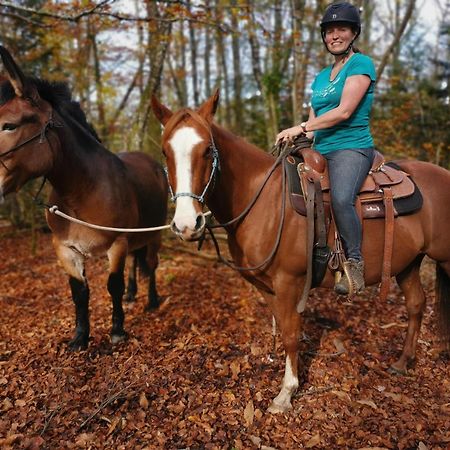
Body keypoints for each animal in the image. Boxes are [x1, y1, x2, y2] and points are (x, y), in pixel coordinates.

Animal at [0, 47, 168, 352]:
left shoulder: (117, 243)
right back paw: (132, 294)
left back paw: (151, 300)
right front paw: (80, 336)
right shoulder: (65, 248)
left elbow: (112, 286)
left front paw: (117, 331)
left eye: (9, 125)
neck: (82, 193)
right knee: (136, 263)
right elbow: (79, 292)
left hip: (154, 234)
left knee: (151, 264)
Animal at [151, 90, 450, 412]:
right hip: (409, 262)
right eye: (165, 152)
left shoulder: (288, 282)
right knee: (416, 304)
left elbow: (292, 334)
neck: (264, 198)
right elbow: (283, 329)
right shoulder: (268, 287)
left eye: (208, 150)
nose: (186, 224)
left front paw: (286, 392)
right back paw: (403, 362)